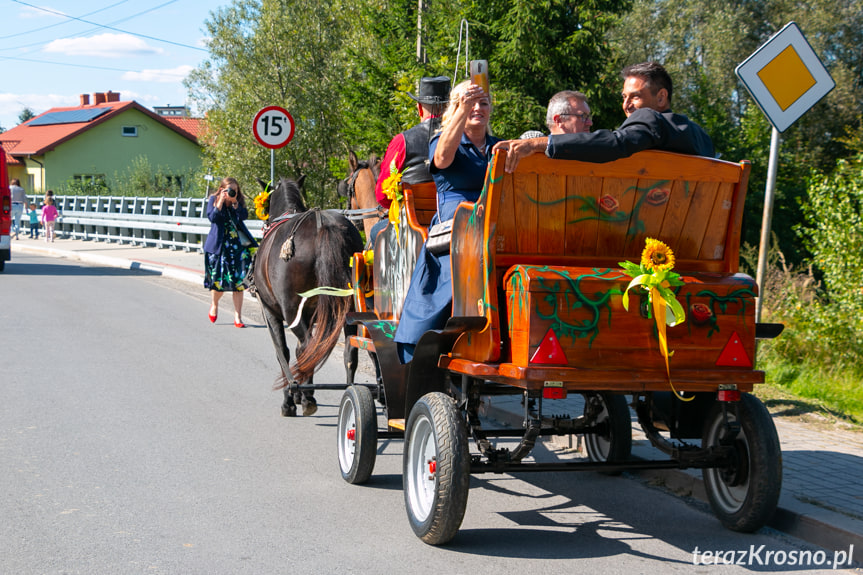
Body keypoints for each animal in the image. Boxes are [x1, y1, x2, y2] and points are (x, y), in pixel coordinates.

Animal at [256, 178, 364, 416]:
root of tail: (321, 224)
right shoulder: (311, 315)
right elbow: (299, 352)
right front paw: (298, 392)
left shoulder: (271, 311)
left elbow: (284, 352)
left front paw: (291, 399)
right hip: (350, 308)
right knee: (349, 350)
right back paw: (348, 391)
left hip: (290, 310)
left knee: (307, 347)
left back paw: (307, 399)